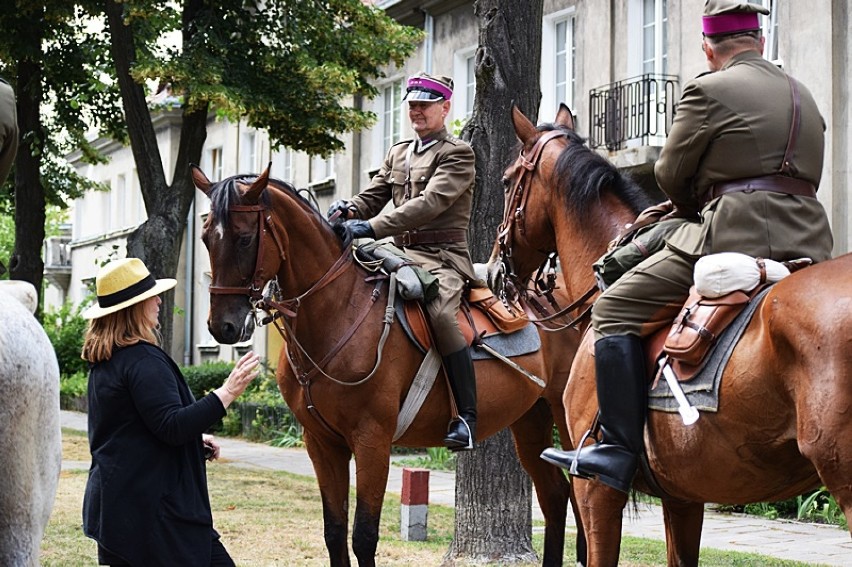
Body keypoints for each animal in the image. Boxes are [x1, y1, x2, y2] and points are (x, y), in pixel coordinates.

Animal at [193, 163, 584, 564]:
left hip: (565, 420)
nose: (221, 326)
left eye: (243, 239)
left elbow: (363, 536)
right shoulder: (321, 443)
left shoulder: (373, 440)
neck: (338, 310)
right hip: (531, 418)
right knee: (556, 497)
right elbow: (334, 532)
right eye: (206, 238)